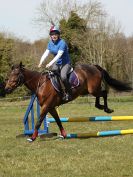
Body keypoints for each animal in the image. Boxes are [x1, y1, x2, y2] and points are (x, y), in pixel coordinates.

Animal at [4, 61, 132, 142]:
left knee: (104, 93)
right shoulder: (51, 107)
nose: (6, 88)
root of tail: (94, 67)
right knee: (99, 97)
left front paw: (32, 137)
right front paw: (64, 135)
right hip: (88, 90)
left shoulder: (46, 106)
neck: (41, 84)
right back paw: (100, 106)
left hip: (93, 89)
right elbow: (58, 120)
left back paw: (107, 109)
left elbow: (39, 121)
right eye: (10, 74)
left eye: (16, 74)